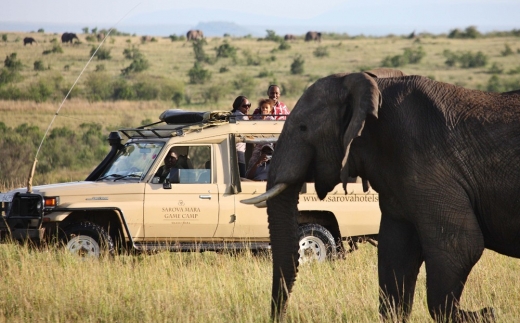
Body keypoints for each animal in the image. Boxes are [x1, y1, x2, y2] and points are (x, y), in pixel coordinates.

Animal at [243, 67, 520, 322]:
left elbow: (460, 245)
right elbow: (394, 253)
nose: (278, 316)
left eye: (303, 128)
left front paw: (485, 314)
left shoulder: (429, 163)